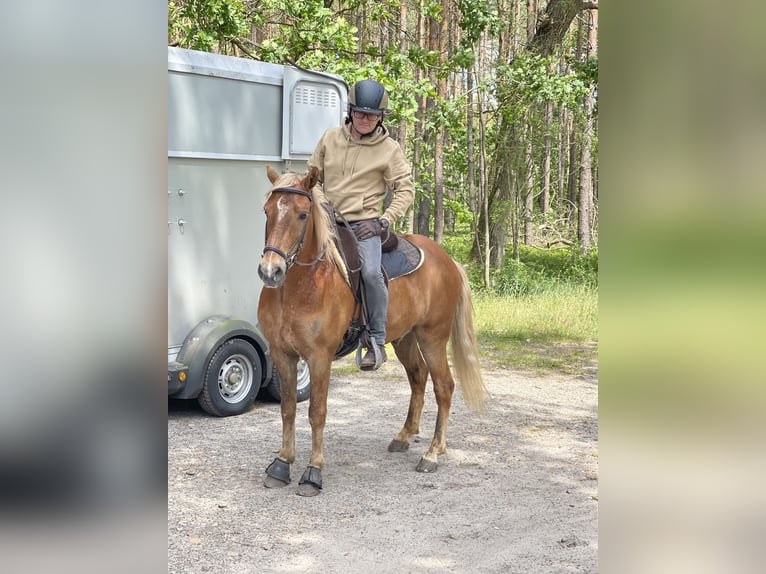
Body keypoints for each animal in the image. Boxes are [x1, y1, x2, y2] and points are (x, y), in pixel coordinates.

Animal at [257, 165, 487, 496]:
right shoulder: (282, 354)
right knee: (418, 377)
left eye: (302, 214)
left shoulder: (319, 358)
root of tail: (448, 260)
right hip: (405, 338)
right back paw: (404, 436)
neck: (300, 287)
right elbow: (288, 409)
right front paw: (282, 463)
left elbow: (317, 412)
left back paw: (432, 453)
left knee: (443, 386)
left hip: (432, 336)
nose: (270, 271)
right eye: (267, 211)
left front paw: (313, 472)